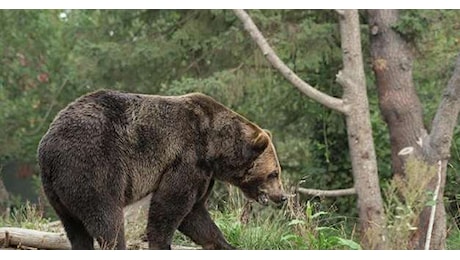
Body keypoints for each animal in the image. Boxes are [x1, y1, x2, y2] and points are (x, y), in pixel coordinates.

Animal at [37, 90, 288, 250]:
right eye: (274, 173)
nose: (282, 196)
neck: (215, 148)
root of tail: (47, 146)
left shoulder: (203, 173)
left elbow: (196, 215)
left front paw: (224, 244)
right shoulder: (187, 157)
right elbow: (170, 206)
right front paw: (162, 244)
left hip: (58, 192)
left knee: (75, 228)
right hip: (93, 164)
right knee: (106, 217)